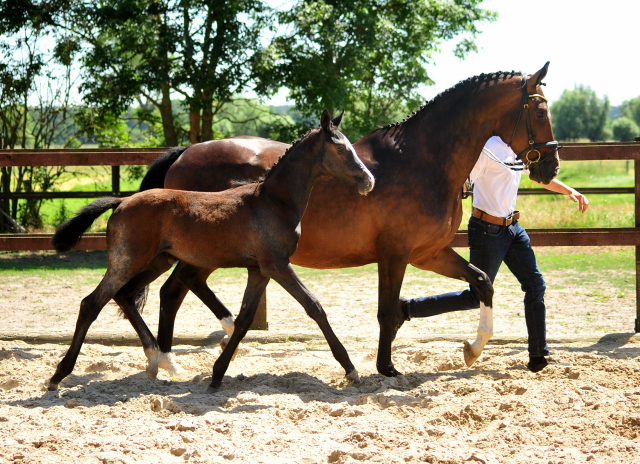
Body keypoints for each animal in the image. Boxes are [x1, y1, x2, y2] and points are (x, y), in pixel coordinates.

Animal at [50, 110, 376, 390]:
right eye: (340, 148)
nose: (368, 181)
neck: (273, 201)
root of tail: (122, 201)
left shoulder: (260, 269)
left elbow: (244, 320)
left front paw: (218, 373)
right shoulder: (278, 265)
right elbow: (314, 307)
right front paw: (350, 369)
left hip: (157, 261)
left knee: (126, 296)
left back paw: (157, 361)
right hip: (127, 262)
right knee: (91, 303)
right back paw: (59, 375)